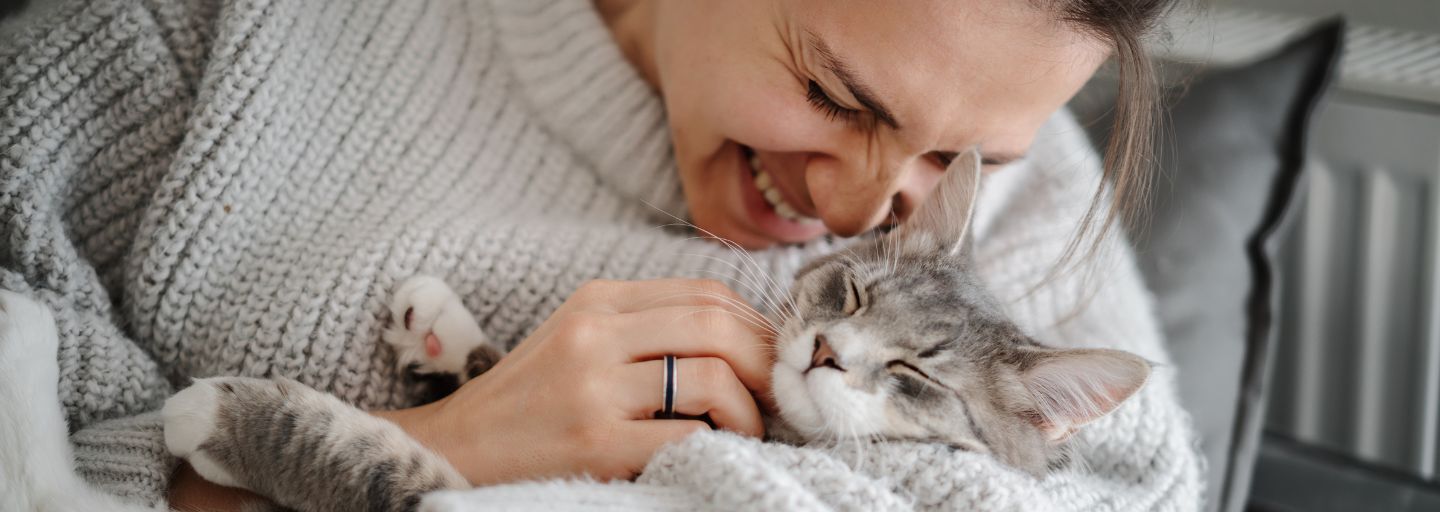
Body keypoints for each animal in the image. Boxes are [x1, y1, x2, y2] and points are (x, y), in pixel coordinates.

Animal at [160, 148, 1146, 512]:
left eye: (921, 373)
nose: (828, 351)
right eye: (854, 295)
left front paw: (232, 422)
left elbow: (388, 461)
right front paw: (448, 335)